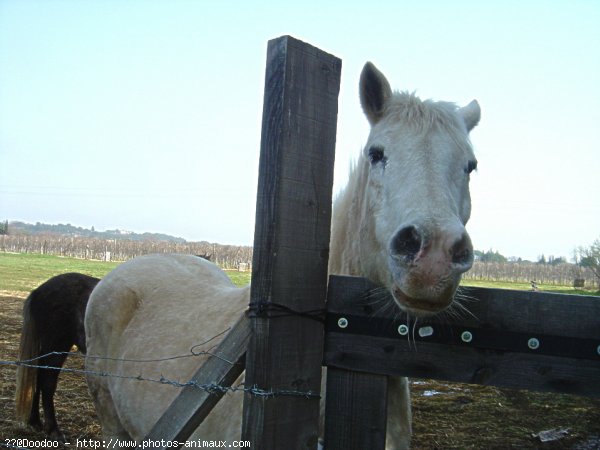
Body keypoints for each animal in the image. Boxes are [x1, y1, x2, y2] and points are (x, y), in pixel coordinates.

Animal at [14, 272, 99, 442]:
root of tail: (38, 291)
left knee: (38, 377)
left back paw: (35, 422)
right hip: (56, 346)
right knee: (47, 382)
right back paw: (53, 429)